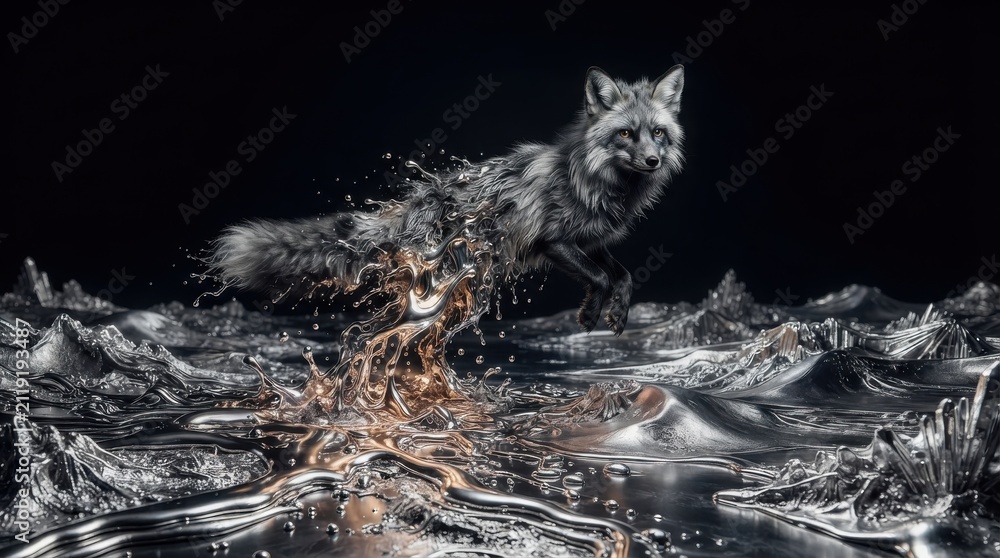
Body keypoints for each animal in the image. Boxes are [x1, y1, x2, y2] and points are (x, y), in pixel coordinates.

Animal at [209, 65, 685, 335]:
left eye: (658, 132)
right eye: (626, 133)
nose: (653, 160)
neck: (593, 180)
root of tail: (414, 205)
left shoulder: (590, 242)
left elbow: (623, 276)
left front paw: (617, 315)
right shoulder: (552, 242)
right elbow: (601, 279)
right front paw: (590, 315)